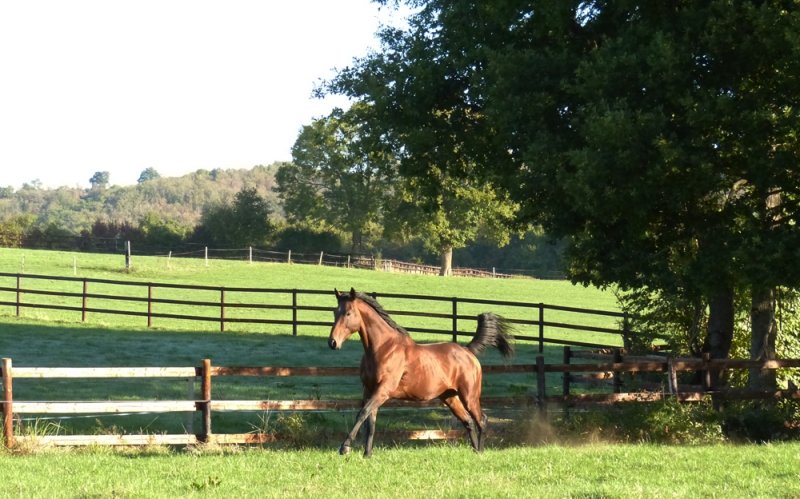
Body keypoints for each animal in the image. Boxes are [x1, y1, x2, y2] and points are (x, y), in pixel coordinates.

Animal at [328, 287, 514, 457]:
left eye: (348, 313)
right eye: (335, 312)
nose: (333, 342)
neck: (383, 348)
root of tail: (468, 351)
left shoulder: (383, 390)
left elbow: (362, 414)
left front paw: (345, 448)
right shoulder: (369, 390)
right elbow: (370, 421)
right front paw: (367, 454)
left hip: (469, 396)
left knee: (481, 420)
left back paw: (480, 453)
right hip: (450, 397)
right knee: (468, 421)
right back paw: (475, 452)